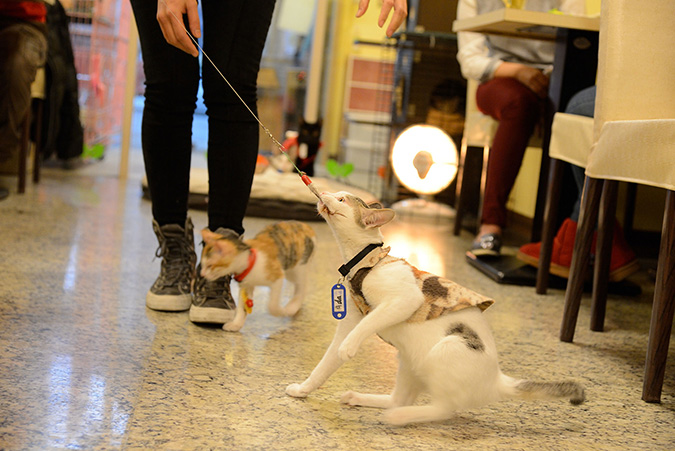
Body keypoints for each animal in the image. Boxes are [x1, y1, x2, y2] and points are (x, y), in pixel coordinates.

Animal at [286, 191, 588, 428]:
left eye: (341, 199)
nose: (323, 193)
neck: (365, 261)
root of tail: (497, 380)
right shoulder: (350, 321)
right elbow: (324, 366)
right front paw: (303, 389)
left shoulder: (405, 300)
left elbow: (367, 325)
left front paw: (349, 347)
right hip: (408, 360)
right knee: (399, 399)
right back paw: (363, 400)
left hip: (447, 348)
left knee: (444, 410)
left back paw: (399, 417)